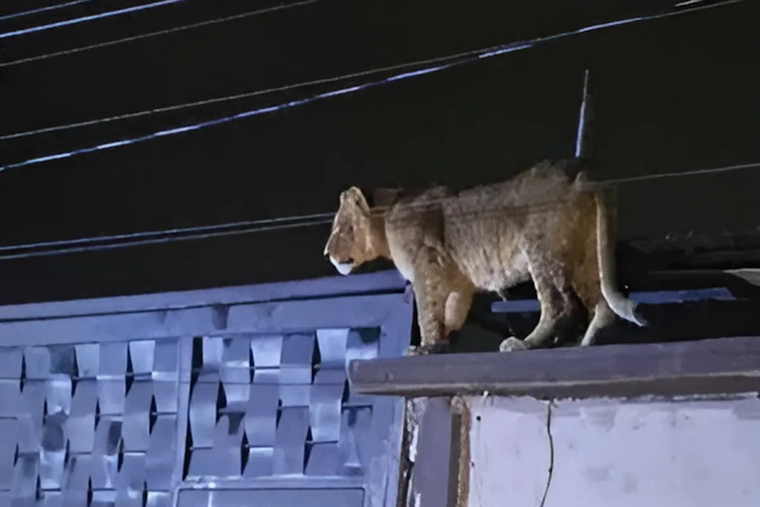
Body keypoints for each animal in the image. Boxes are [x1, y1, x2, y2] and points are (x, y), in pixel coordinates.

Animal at [323, 159, 646, 354]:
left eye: (340, 228)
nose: (326, 252)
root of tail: (578, 175)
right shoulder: (456, 281)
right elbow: (449, 313)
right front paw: (442, 343)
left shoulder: (427, 263)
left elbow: (427, 310)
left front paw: (425, 347)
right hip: (586, 255)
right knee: (601, 306)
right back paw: (586, 345)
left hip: (541, 251)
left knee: (560, 305)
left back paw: (524, 344)